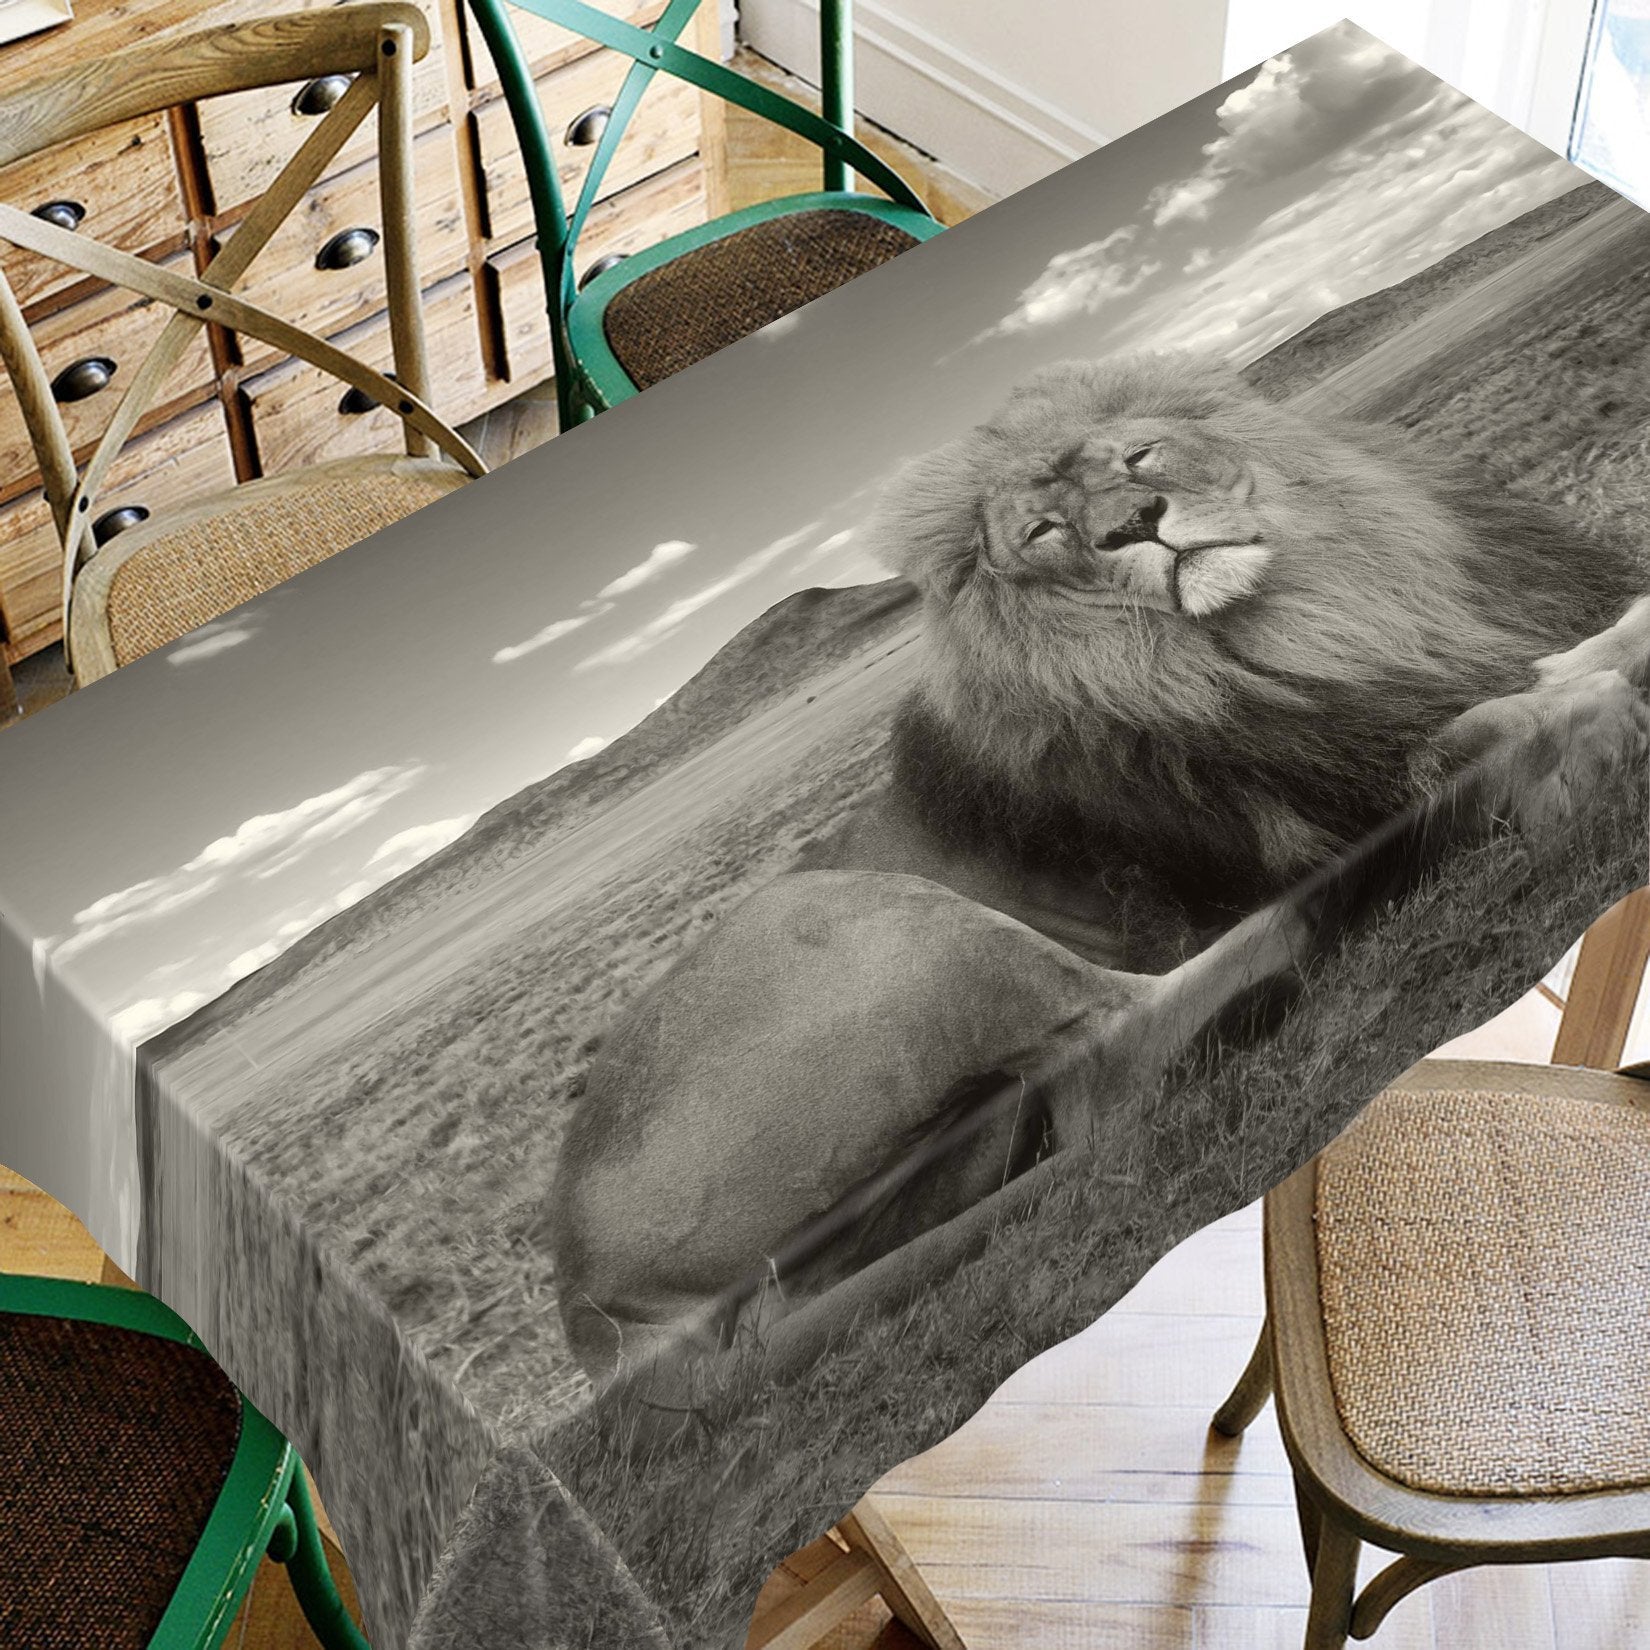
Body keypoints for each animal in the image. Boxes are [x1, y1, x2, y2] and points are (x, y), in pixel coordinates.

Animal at [553, 353, 1649, 1388]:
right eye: (1043, 531)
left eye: (1137, 457)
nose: (1133, 525)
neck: (1311, 621)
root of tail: (591, 1311)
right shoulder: (1334, 793)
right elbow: (1461, 739)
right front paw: (1568, 714)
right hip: (859, 920)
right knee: (1127, 1054)